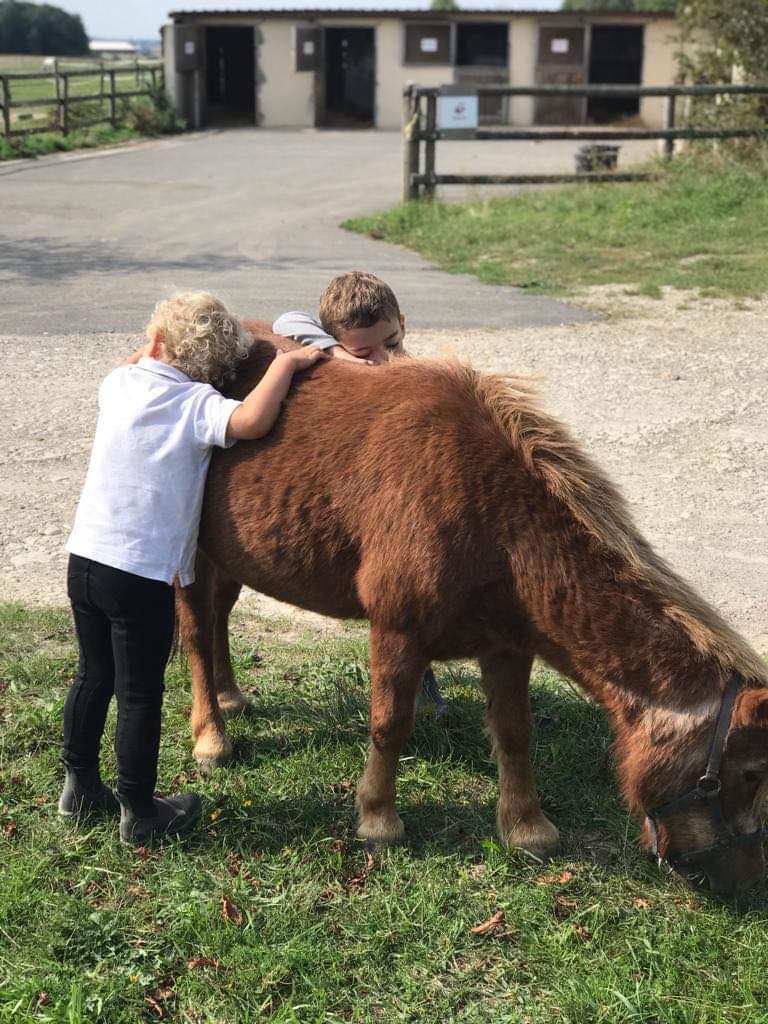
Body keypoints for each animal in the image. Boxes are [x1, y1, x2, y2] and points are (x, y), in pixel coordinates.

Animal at [177, 323, 768, 892]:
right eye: (749, 773)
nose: (743, 884)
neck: (491, 512)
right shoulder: (397, 631)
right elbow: (389, 724)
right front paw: (378, 819)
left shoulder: (508, 645)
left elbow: (513, 730)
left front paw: (526, 827)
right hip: (192, 557)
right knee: (197, 636)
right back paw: (212, 737)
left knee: (220, 617)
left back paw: (231, 698)